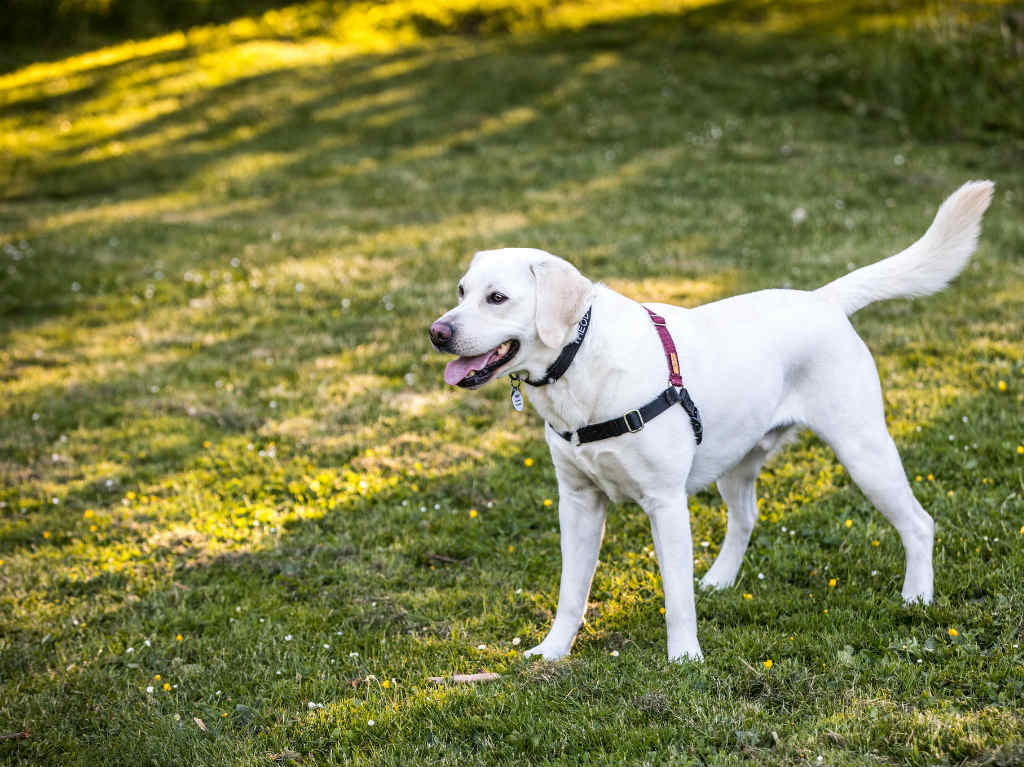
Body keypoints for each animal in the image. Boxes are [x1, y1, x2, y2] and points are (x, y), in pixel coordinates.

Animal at [430, 182, 991, 659]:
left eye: (497, 298)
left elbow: (676, 597)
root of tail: (822, 299)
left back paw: (916, 596)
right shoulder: (578, 502)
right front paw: (552, 651)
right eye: (460, 291)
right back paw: (721, 580)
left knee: (919, 523)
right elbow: (572, 592)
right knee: (746, 519)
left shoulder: (665, 503)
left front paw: (684, 659)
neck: (580, 360)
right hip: (736, 463)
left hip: (864, 453)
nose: (437, 332)